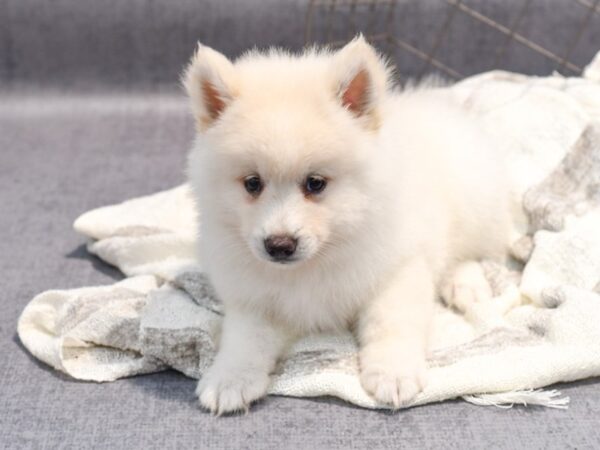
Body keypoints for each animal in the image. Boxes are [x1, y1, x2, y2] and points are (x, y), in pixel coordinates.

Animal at [183, 37, 510, 414]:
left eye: (315, 183)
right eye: (252, 183)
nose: (279, 245)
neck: (315, 263)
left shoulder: (397, 270)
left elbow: (391, 322)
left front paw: (393, 372)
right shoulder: (254, 297)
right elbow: (244, 338)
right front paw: (230, 379)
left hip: (475, 201)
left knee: (471, 251)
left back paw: (465, 285)